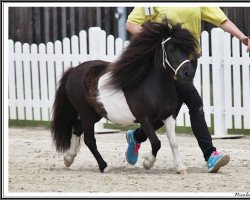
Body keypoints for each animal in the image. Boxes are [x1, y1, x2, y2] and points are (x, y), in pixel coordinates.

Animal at [51, 19, 199, 174]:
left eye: (186, 50)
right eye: (171, 49)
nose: (189, 73)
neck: (153, 87)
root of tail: (74, 70)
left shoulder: (168, 116)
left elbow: (173, 142)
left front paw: (180, 167)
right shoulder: (145, 119)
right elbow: (156, 142)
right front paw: (147, 163)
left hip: (95, 113)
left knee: (78, 128)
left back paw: (69, 158)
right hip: (85, 112)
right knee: (89, 139)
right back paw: (104, 166)